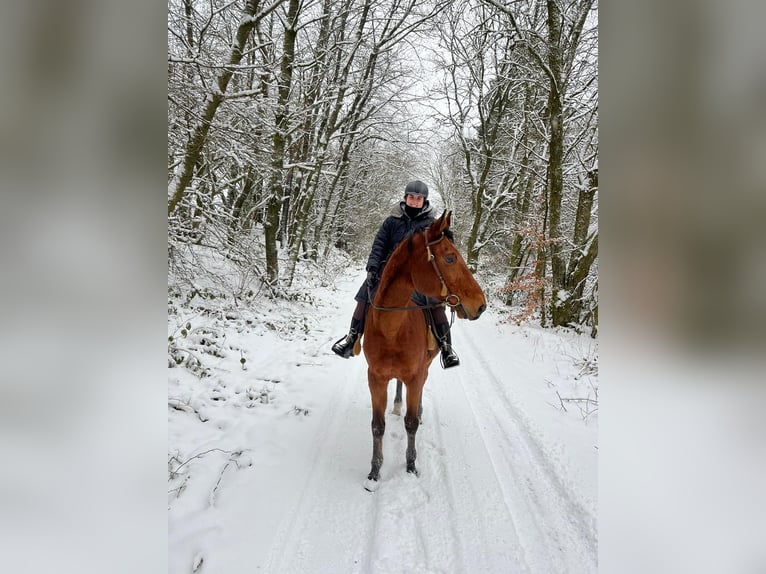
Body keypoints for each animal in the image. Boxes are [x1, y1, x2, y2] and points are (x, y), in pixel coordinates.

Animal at [360, 212, 486, 490]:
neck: (392, 329)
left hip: (425, 369)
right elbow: (377, 426)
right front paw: (374, 472)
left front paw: (410, 465)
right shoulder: (375, 378)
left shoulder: (416, 377)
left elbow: (411, 424)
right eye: (450, 258)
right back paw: (397, 404)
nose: (481, 305)